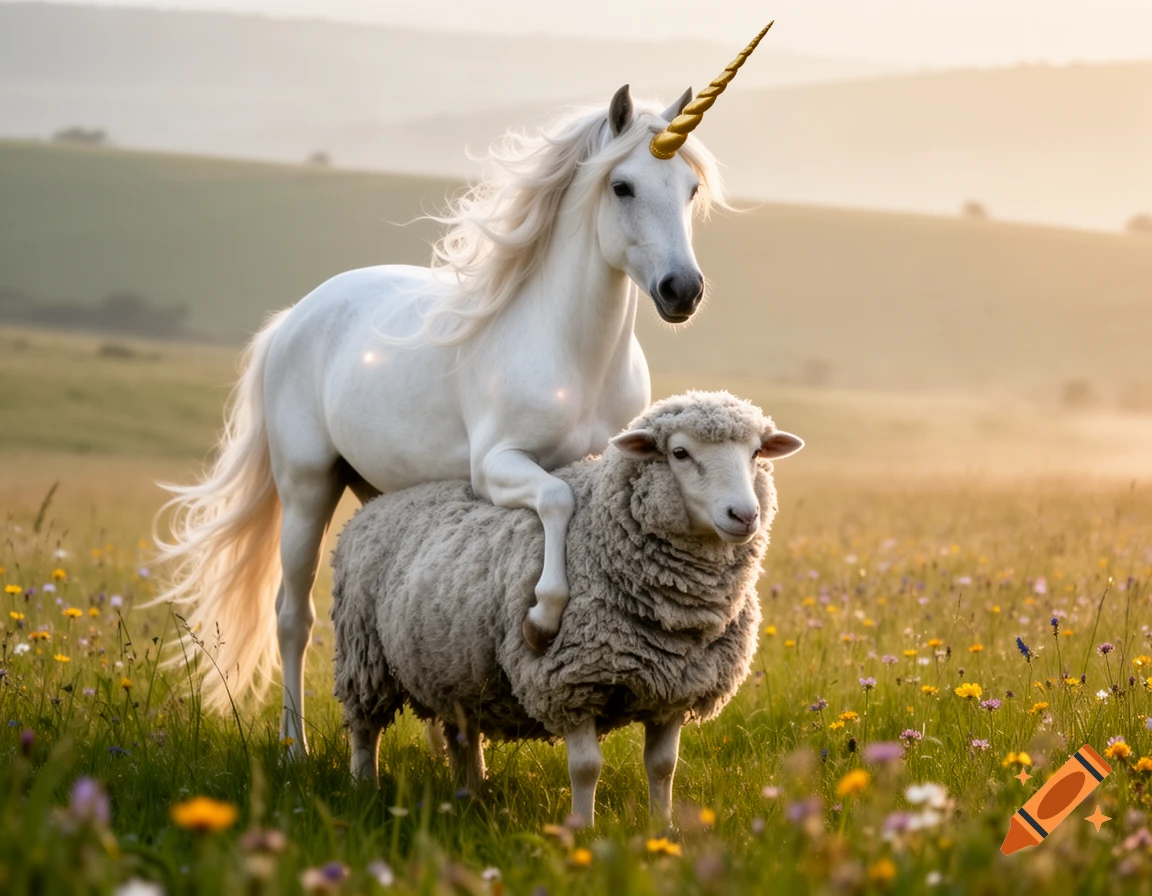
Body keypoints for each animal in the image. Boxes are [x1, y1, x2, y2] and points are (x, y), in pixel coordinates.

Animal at [329, 390, 803, 825]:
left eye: (756, 453)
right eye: (680, 453)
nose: (744, 515)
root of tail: (373, 506)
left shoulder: (675, 689)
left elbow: (663, 768)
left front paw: (662, 830)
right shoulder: (569, 682)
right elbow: (586, 768)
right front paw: (582, 831)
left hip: (455, 667)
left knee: (460, 730)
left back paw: (471, 793)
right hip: (364, 654)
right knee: (365, 729)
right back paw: (363, 789)